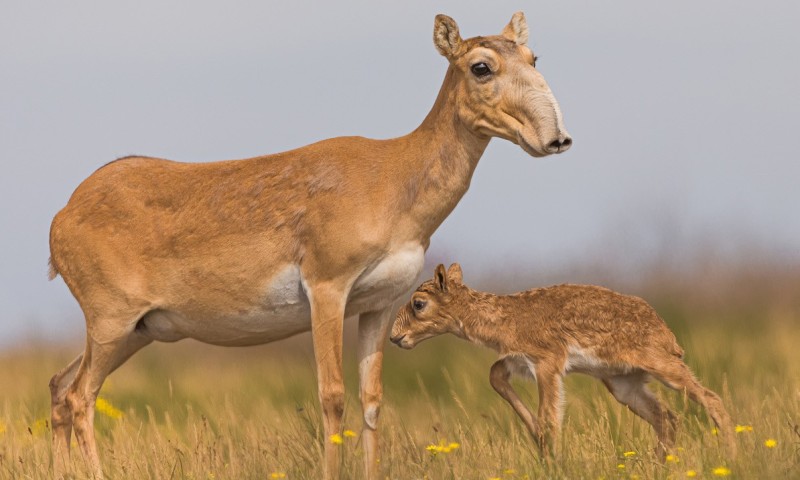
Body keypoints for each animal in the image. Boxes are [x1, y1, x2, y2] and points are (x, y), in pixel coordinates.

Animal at [48, 12, 568, 480]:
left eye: (533, 56)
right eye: (481, 66)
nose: (557, 138)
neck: (395, 175)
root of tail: (64, 215)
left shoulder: (379, 305)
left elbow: (372, 401)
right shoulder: (327, 290)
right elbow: (332, 396)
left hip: (137, 331)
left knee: (59, 386)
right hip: (112, 324)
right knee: (79, 396)